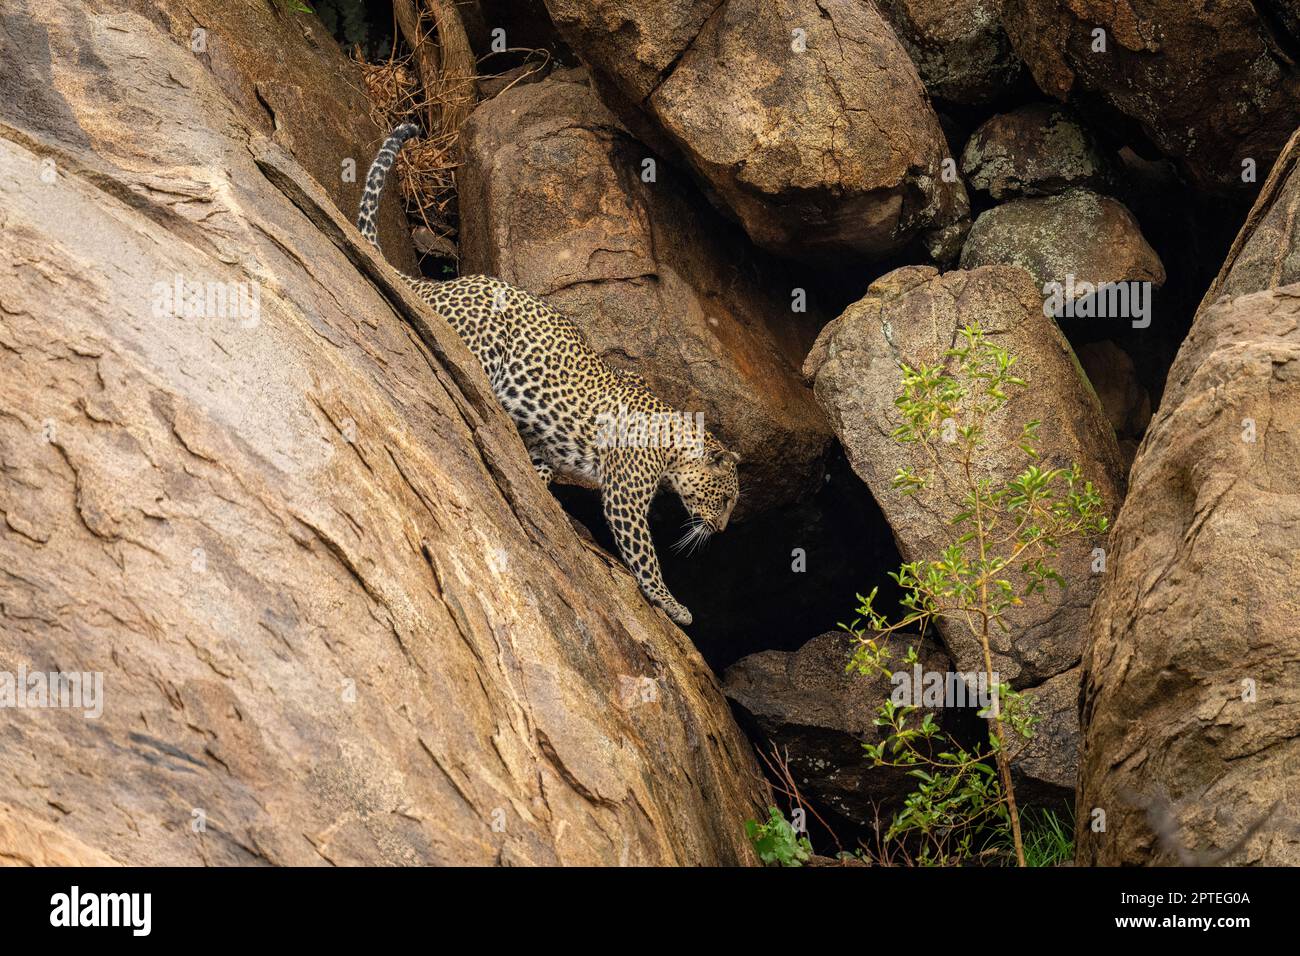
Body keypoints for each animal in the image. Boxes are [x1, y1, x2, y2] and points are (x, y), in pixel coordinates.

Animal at [356, 123, 740, 626]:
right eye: (726, 499)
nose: (722, 530)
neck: (673, 445)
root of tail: (442, 284)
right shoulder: (625, 496)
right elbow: (645, 557)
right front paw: (672, 604)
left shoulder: (550, 447)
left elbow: (541, 466)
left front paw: (534, 483)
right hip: (485, 335)